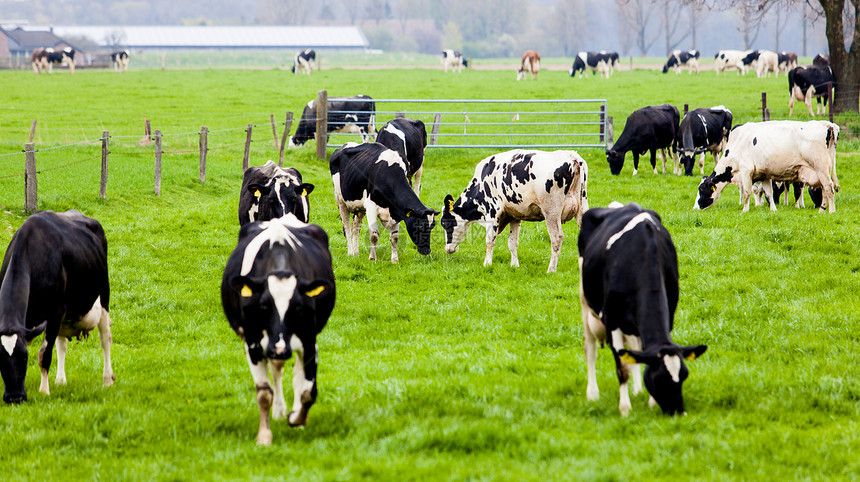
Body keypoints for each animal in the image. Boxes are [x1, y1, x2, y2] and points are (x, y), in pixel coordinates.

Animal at [0, 211, 114, 402]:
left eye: (24, 358)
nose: (14, 398)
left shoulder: (54, 312)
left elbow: (44, 354)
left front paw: (44, 391)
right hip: (65, 317)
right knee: (62, 344)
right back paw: (61, 381)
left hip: (103, 297)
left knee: (105, 339)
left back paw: (107, 379)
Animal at [220, 215, 334, 444]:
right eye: (264, 305)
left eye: (298, 306)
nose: (279, 349)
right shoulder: (253, 342)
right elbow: (264, 393)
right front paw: (264, 436)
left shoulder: (309, 340)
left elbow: (308, 391)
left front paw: (297, 418)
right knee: (277, 369)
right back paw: (279, 411)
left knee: (295, 374)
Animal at [440, 149, 588, 274]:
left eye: (445, 224)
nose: (448, 249)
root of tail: (572, 156)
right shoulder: (515, 215)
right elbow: (512, 242)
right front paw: (514, 265)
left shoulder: (492, 212)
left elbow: (490, 240)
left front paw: (487, 264)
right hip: (582, 206)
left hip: (551, 212)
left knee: (556, 238)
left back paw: (551, 269)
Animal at [576, 201, 704, 416]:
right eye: (659, 379)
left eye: (684, 375)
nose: (679, 413)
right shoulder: (612, 322)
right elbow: (622, 368)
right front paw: (625, 408)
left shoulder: (668, 315)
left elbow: (640, 356)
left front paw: (650, 403)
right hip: (585, 300)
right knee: (591, 348)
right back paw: (592, 394)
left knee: (634, 349)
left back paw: (637, 391)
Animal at [692, 119, 840, 212]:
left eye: (701, 190)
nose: (695, 208)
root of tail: (827, 125)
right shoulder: (764, 175)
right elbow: (769, 193)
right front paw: (773, 210)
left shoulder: (746, 171)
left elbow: (747, 192)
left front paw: (745, 210)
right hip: (823, 171)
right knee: (824, 189)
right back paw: (822, 210)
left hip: (821, 168)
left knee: (829, 188)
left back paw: (831, 211)